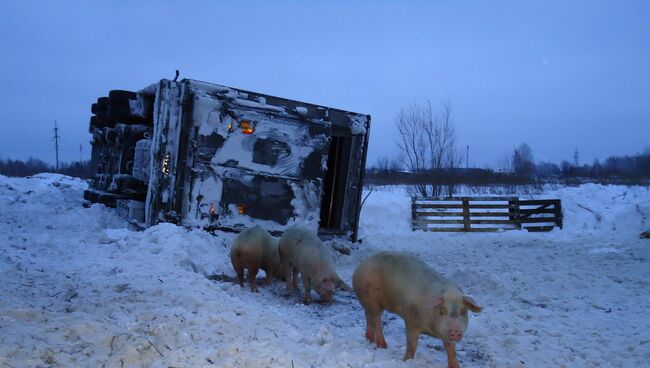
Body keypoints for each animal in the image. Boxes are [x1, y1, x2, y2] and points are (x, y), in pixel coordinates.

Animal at [350, 252, 480, 366]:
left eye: (463, 312)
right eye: (442, 310)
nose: (455, 330)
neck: (431, 330)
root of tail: (362, 264)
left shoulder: (446, 333)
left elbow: (451, 351)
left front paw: (455, 366)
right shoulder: (411, 321)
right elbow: (412, 345)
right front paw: (406, 361)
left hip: (370, 304)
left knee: (368, 316)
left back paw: (370, 340)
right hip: (371, 299)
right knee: (377, 322)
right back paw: (383, 346)